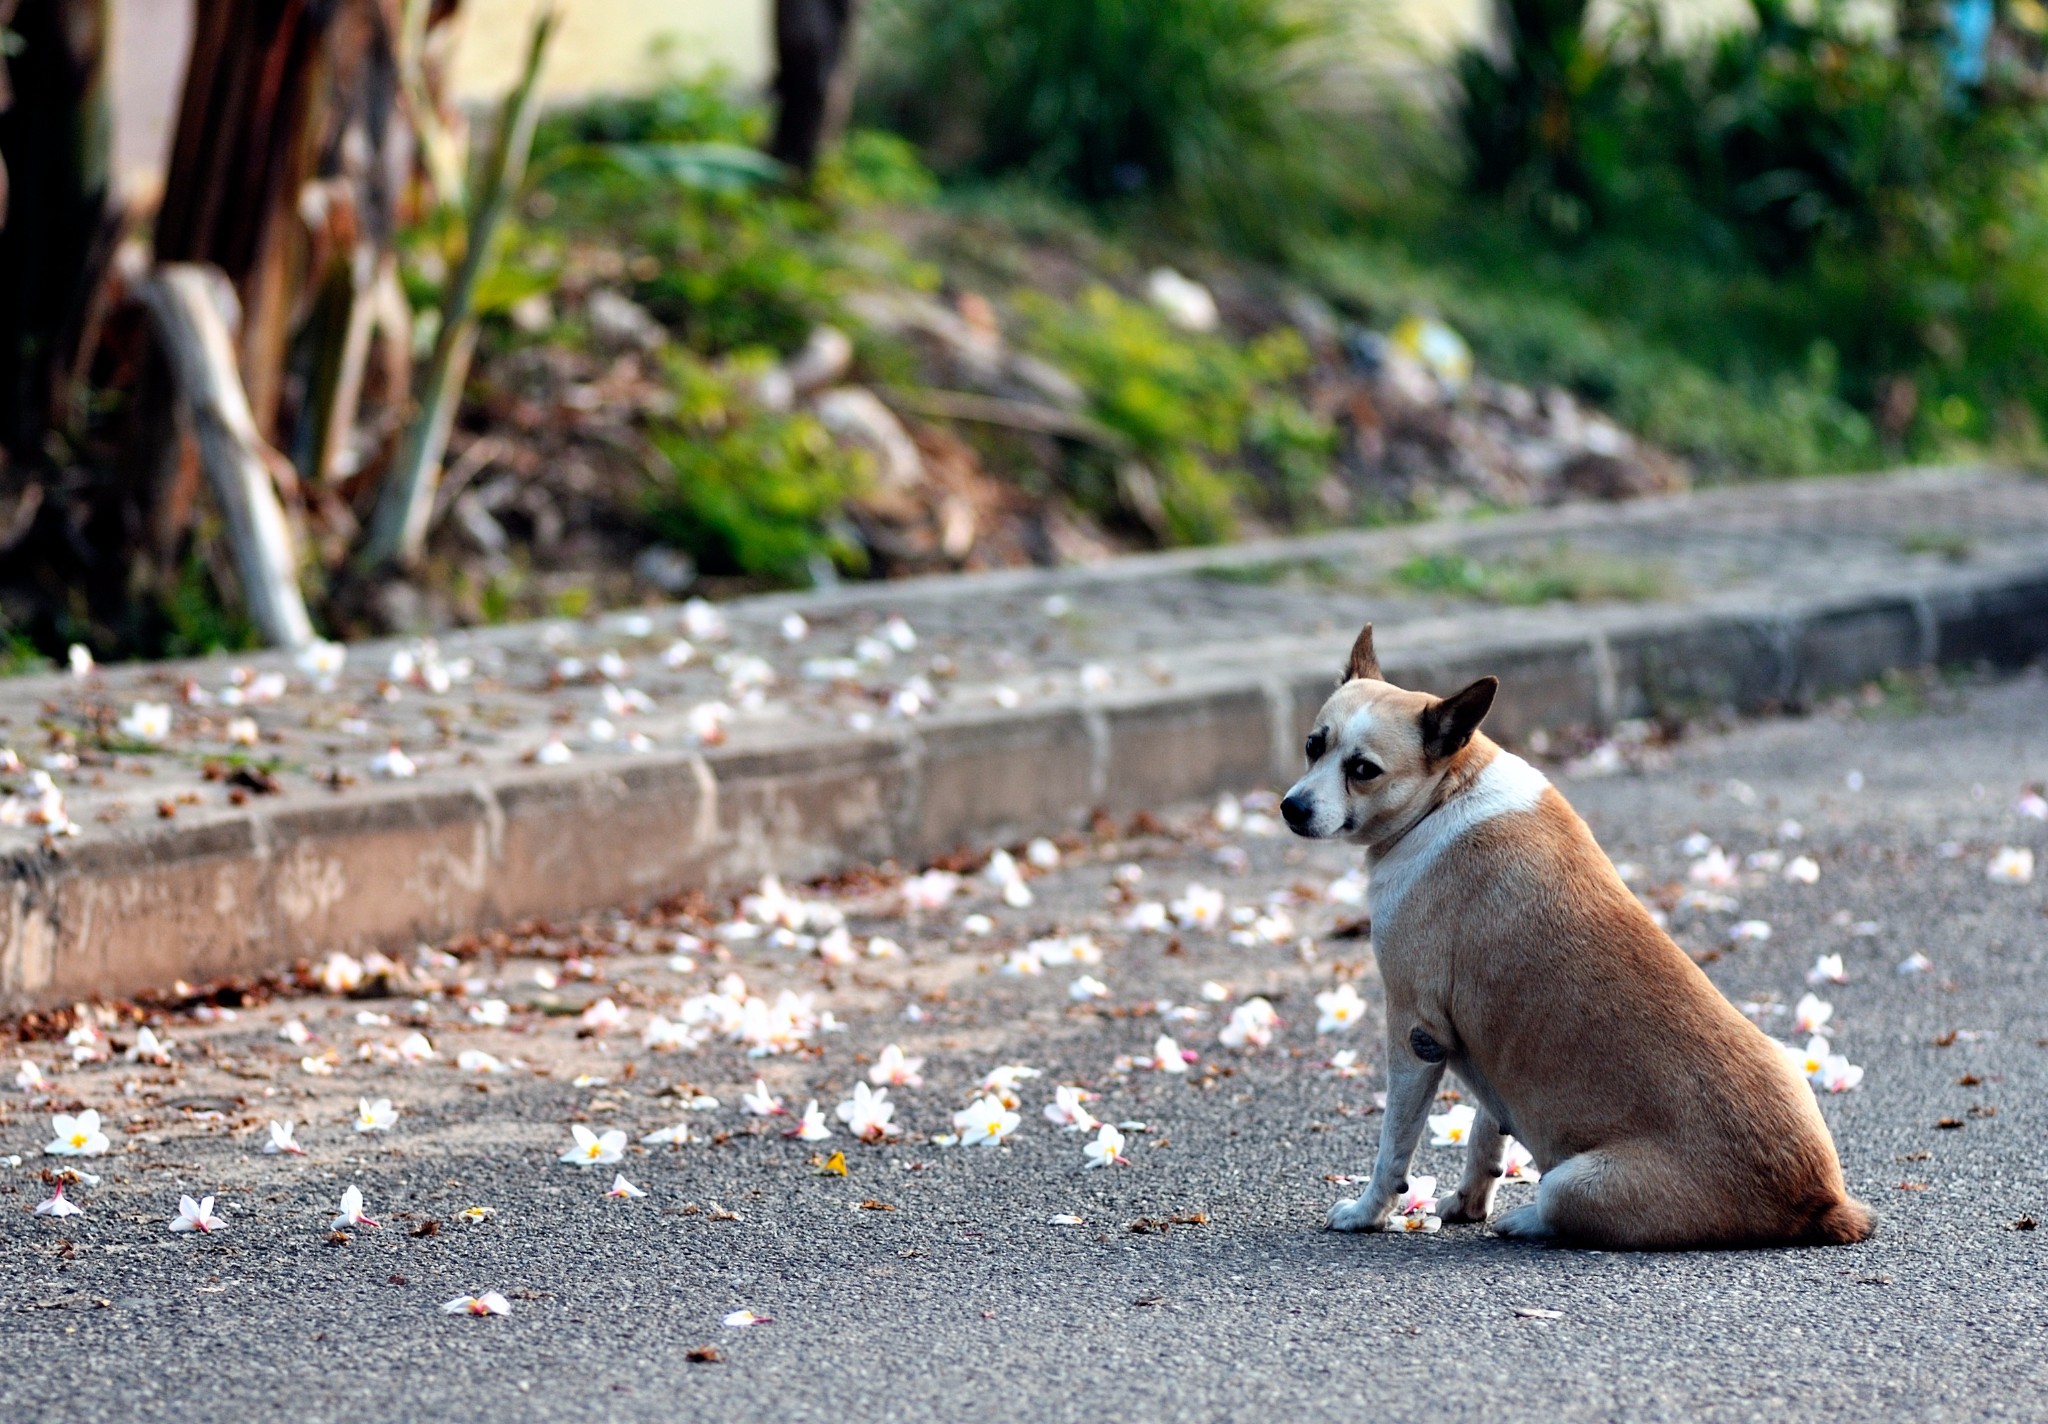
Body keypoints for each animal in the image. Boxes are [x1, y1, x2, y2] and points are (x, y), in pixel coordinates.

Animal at [1277, 622, 1875, 1245]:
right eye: (1313, 746)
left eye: (1363, 770)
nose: (1291, 808)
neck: (1447, 791)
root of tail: (1819, 1200)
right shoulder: (1495, 1065)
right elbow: (1486, 1135)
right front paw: (1468, 1201)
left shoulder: (1415, 1035)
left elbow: (1394, 1146)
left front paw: (1367, 1212)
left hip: (1570, 1183)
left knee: (1554, 1204)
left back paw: (1525, 1220)